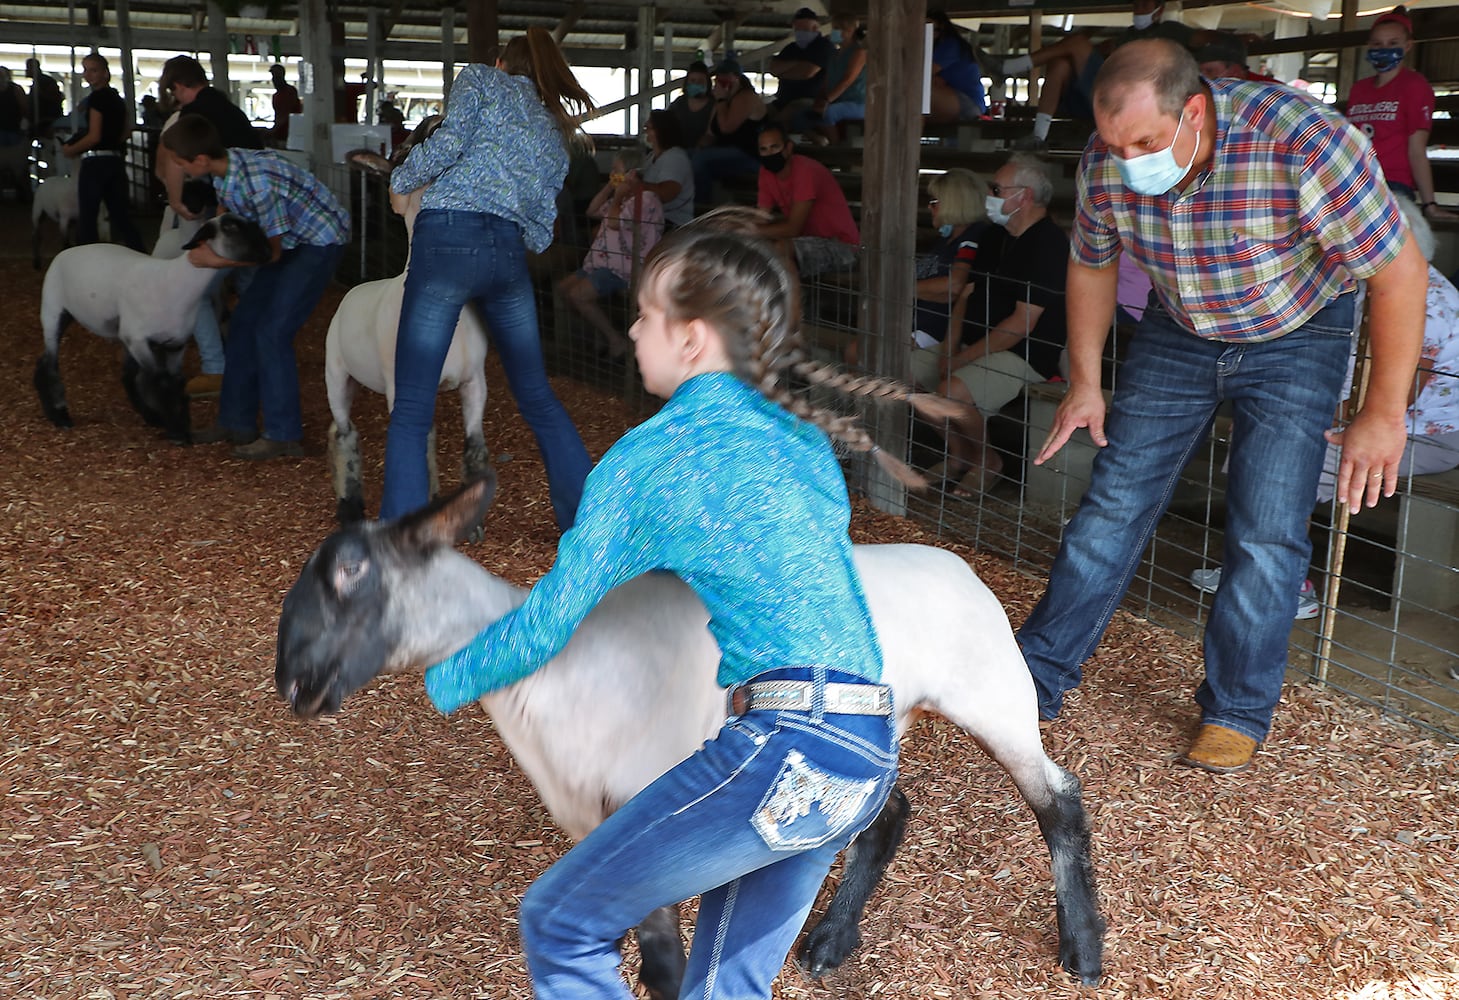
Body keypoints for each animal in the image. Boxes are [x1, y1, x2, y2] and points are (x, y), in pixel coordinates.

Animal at [34, 214, 272, 443]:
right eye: (231, 227)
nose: (268, 252)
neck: (177, 284)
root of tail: (66, 251)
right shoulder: (139, 340)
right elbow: (161, 383)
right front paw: (177, 433)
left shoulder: (176, 344)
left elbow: (176, 383)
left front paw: (180, 427)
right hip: (54, 312)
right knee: (48, 365)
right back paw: (60, 416)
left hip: (122, 335)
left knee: (127, 376)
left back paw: (150, 416)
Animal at [275, 472, 1103, 992]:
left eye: (350, 569)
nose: (291, 682)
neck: (561, 671)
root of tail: (961, 565)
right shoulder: (601, 827)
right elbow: (656, 953)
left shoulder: (649, 811)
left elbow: (669, 965)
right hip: (881, 725)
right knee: (888, 812)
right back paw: (830, 942)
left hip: (994, 699)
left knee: (1057, 799)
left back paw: (1084, 949)